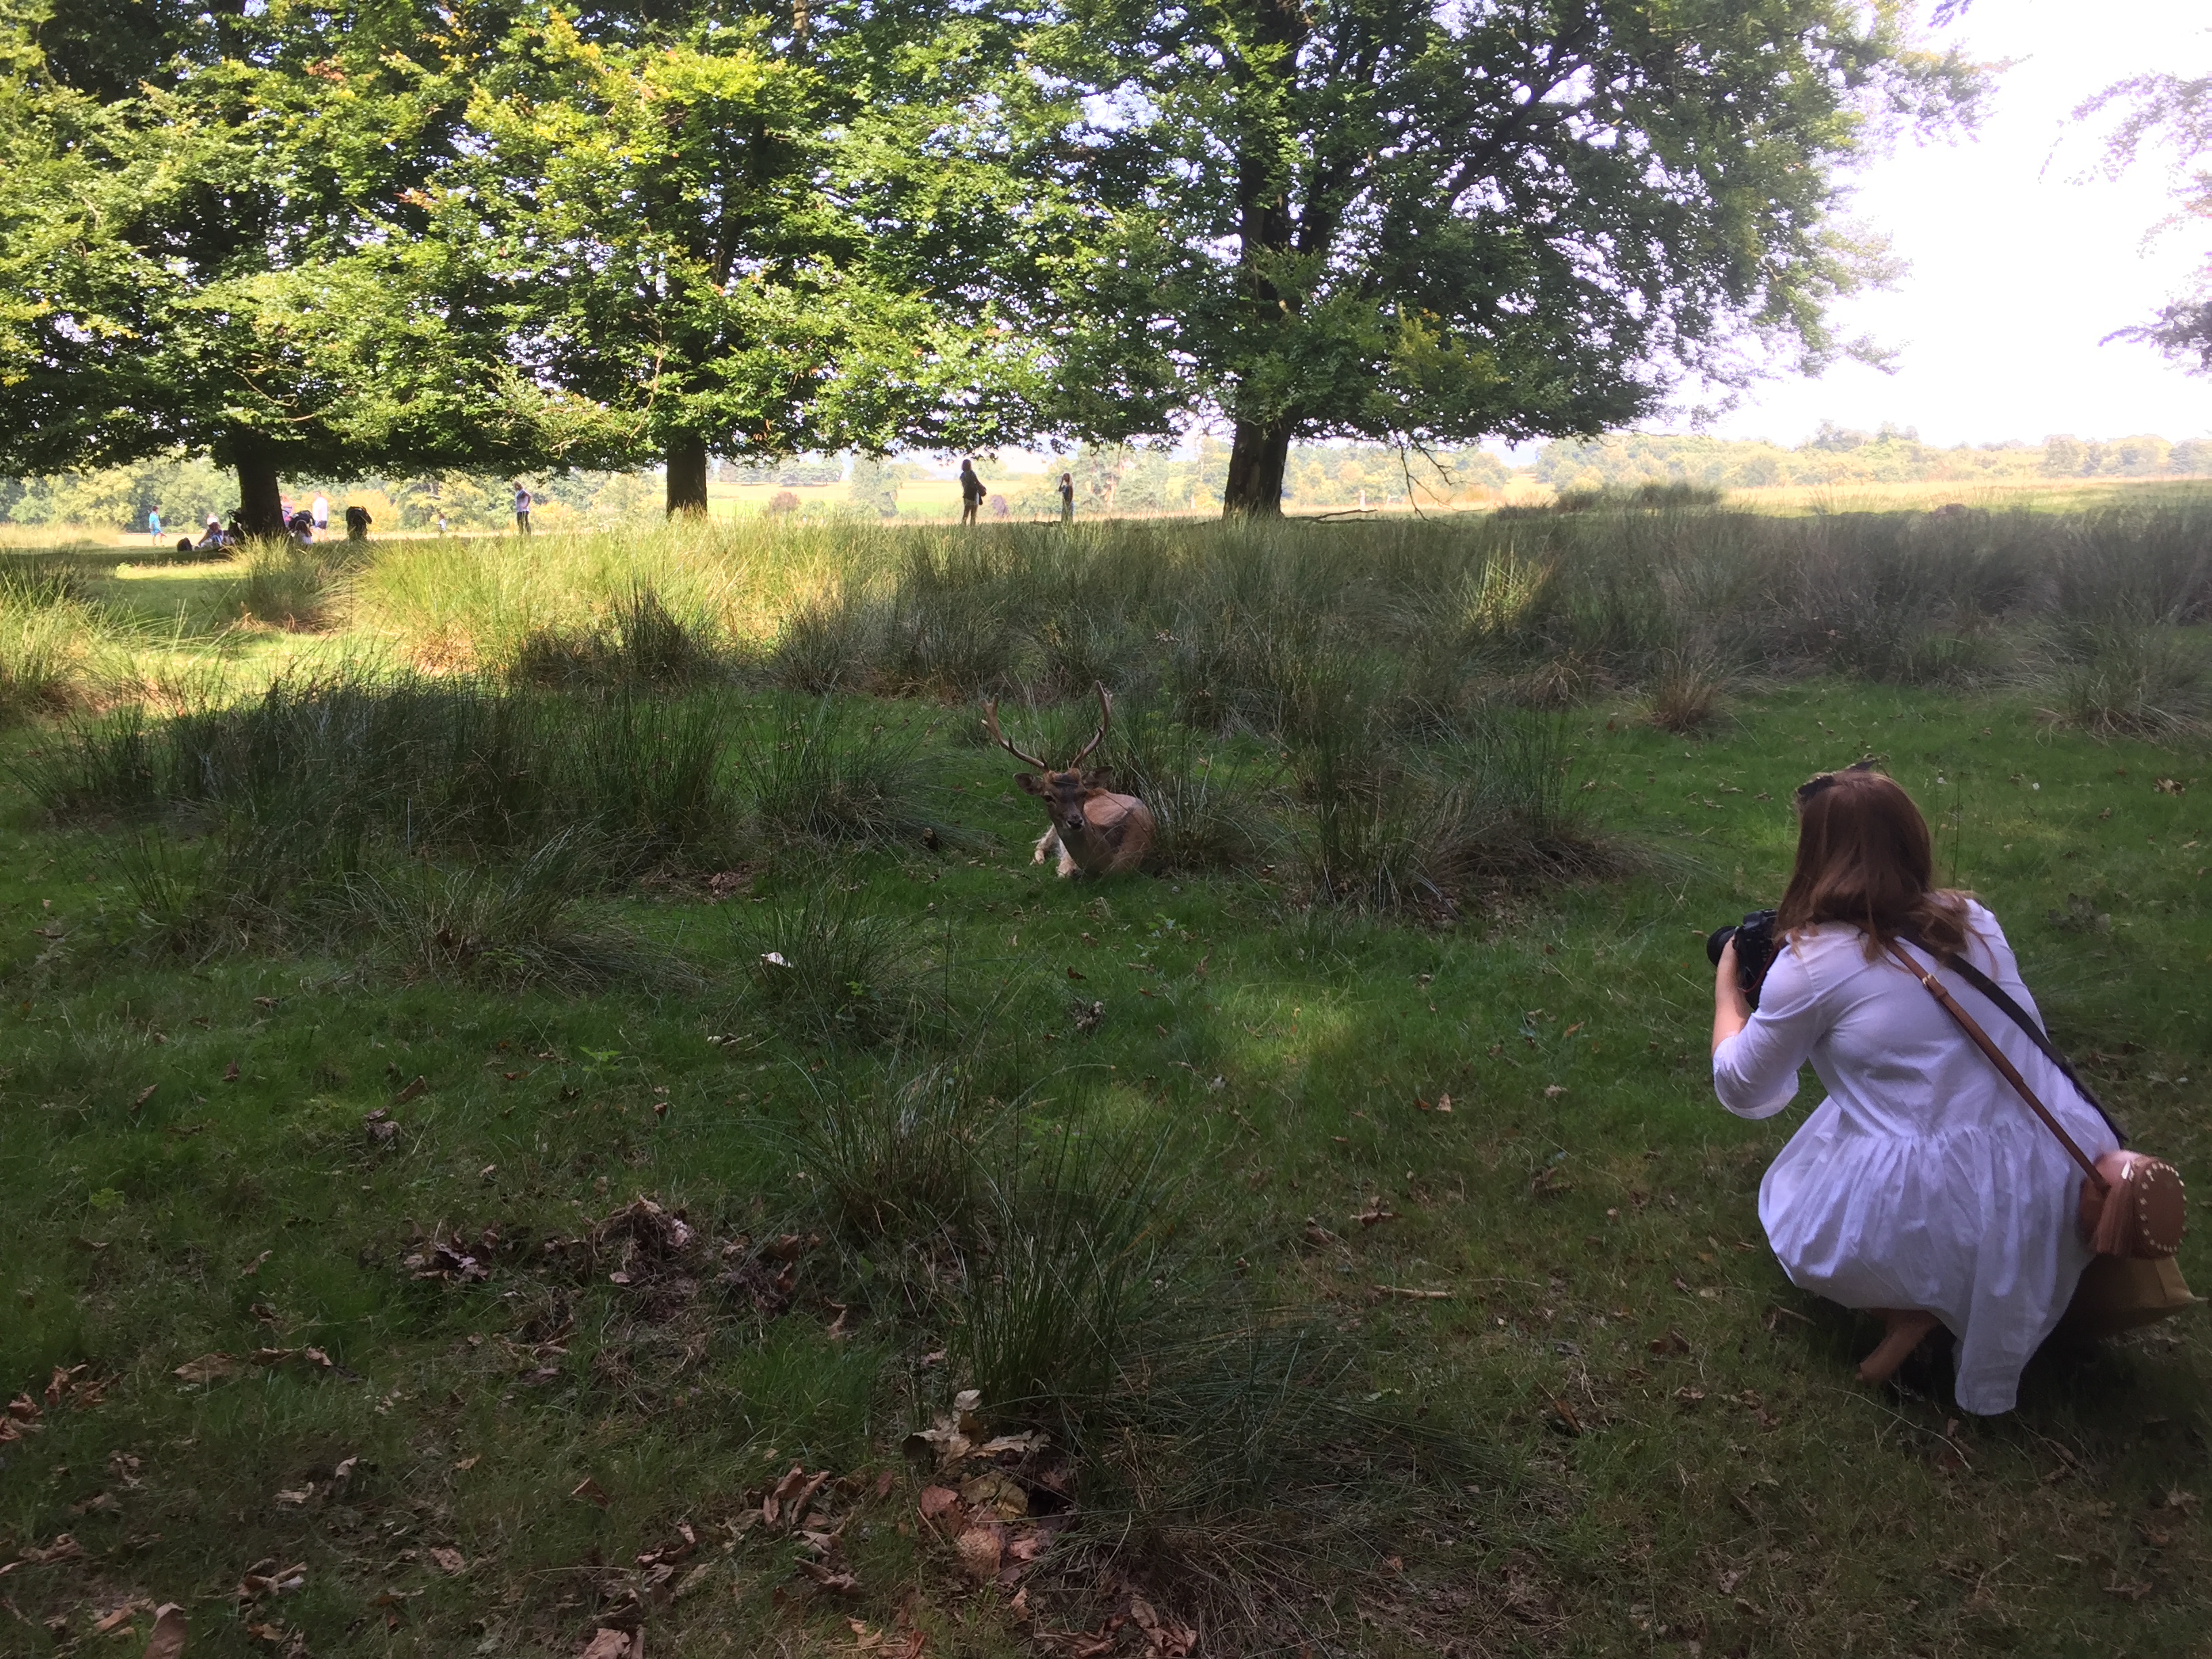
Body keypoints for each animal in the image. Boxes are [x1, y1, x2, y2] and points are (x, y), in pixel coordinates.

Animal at [983, 683, 1156, 878]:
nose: (1075, 822)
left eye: (1083, 793)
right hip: (1051, 829)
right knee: (1040, 844)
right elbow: (1063, 872)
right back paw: (1038, 862)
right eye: (1048, 797)